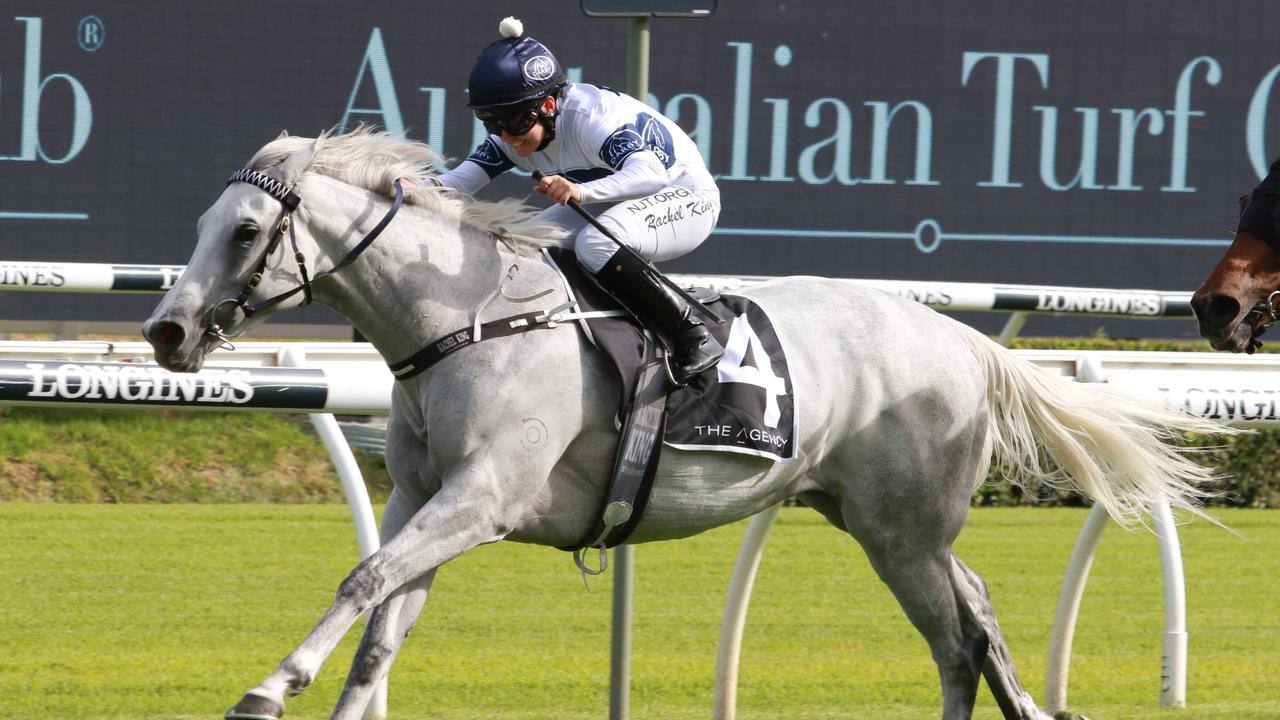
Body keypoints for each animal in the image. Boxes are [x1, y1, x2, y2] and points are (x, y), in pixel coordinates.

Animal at [142, 128, 1228, 717]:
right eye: (202, 226)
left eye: (246, 230)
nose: (165, 331)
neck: (470, 316)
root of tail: (964, 342)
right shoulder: (423, 496)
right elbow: (380, 623)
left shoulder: (484, 498)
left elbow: (363, 579)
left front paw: (267, 687)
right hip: (882, 523)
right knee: (976, 619)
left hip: (901, 535)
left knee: (957, 645)